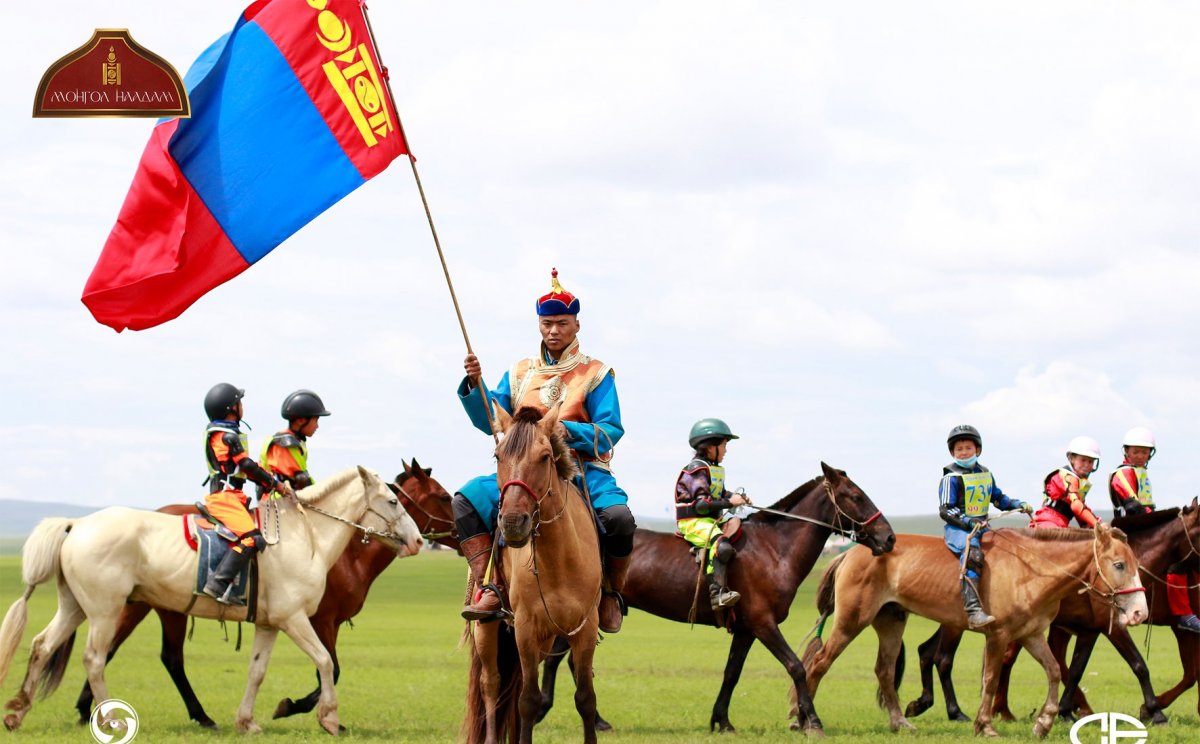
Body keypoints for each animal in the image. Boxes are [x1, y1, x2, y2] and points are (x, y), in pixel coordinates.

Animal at [0, 465, 422, 734]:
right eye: (392, 502)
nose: (419, 541)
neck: (306, 536)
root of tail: (77, 524)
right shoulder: (296, 620)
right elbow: (324, 662)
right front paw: (329, 718)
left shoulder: (270, 624)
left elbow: (257, 671)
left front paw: (247, 721)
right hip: (106, 611)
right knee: (95, 659)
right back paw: (110, 719)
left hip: (75, 607)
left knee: (42, 646)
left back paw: (18, 711)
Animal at [463, 408, 604, 744]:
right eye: (498, 455)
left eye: (544, 457)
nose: (513, 522)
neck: (559, 561)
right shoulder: (526, 627)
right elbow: (528, 700)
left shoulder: (585, 629)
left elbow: (585, 698)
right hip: (490, 629)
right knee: (492, 683)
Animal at [540, 463, 897, 734]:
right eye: (855, 496)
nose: (889, 537)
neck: (775, 548)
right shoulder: (764, 624)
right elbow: (796, 666)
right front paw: (812, 721)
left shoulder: (746, 630)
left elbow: (732, 673)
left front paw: (721, 720)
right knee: (560, 658)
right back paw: (554, 708)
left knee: (570, 660)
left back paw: (594, 719)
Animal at [801, 523, 1147, 739]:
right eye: (1119, 565)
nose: (1140, 613)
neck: (1030, 570)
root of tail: (849, 552)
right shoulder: (998, 636)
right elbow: (990, 679)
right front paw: (986, 726)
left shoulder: (1031, 635)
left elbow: (1053, 671)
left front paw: (1044, 723)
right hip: (851, 622)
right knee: (819, 664)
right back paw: (807, 723)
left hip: (891, 622)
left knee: (884, 671)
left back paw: (901, 723)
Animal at [902, 499, 1200, 724]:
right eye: (1120, 565)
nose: (1140, 611)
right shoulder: (1114, 627)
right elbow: (1140, 666)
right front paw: (1155, 710)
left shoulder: (1089, 630)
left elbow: (1076, 668)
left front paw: (1066, 711)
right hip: (960, 624)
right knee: (943, 658)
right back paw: (958, 712)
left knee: (930, 652)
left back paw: (930, 704)